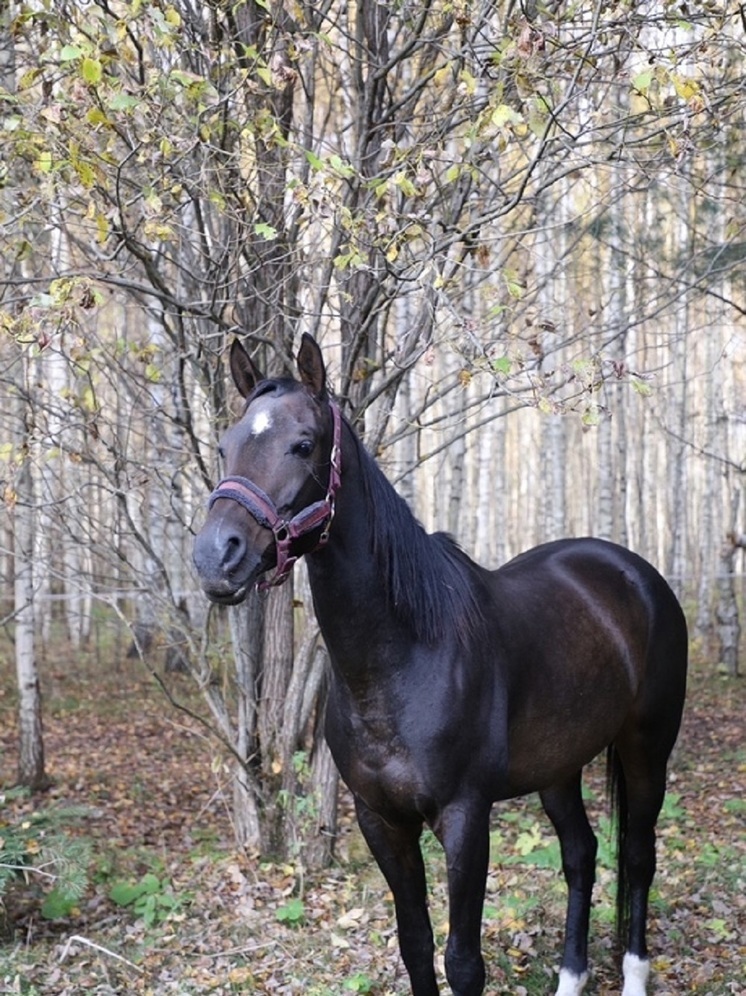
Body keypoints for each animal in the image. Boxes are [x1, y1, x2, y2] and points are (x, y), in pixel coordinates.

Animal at [190, 336, 684, 996]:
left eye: (303, 443)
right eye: (225, 445)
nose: (216, 556)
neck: (400, 662)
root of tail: (634, 573)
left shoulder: (465, 819)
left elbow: (463, 960)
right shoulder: (380, 821)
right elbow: (416, 945)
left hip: (646, 748)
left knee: (636, 855)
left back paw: (633, 974)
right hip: (560, 766)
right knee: (581, 854)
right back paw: (570, 976)